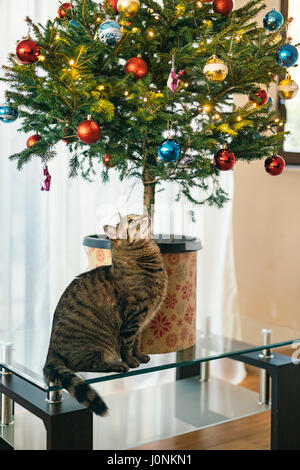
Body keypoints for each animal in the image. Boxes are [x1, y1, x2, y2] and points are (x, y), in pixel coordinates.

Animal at [43, 213, 168, 414]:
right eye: (131, 221)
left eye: (136, 215)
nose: (145, 214)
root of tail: (50, 350)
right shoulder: (133, 318)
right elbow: (127, 345)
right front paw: (132, 361)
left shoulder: (141, 322)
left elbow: (137, 342)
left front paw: (141, 356)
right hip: (98, 344)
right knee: (88, 365)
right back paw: (119, 365)